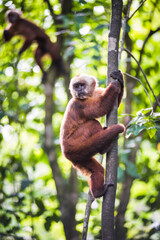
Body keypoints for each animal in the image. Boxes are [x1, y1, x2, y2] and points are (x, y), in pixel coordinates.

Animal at [59, 70, 125, 199]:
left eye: (81, 85)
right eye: (76, 86)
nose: (79, 90)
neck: (89, 96)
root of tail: (65, 151)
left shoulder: (97, 92)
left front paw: (120, 78)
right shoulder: (79, 104)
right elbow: (101, 108)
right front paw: (115, 85)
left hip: (78, 157)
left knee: (97, 170)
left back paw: (98, 192)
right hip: (74, 143)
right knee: (92, 123)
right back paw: (104, 148)